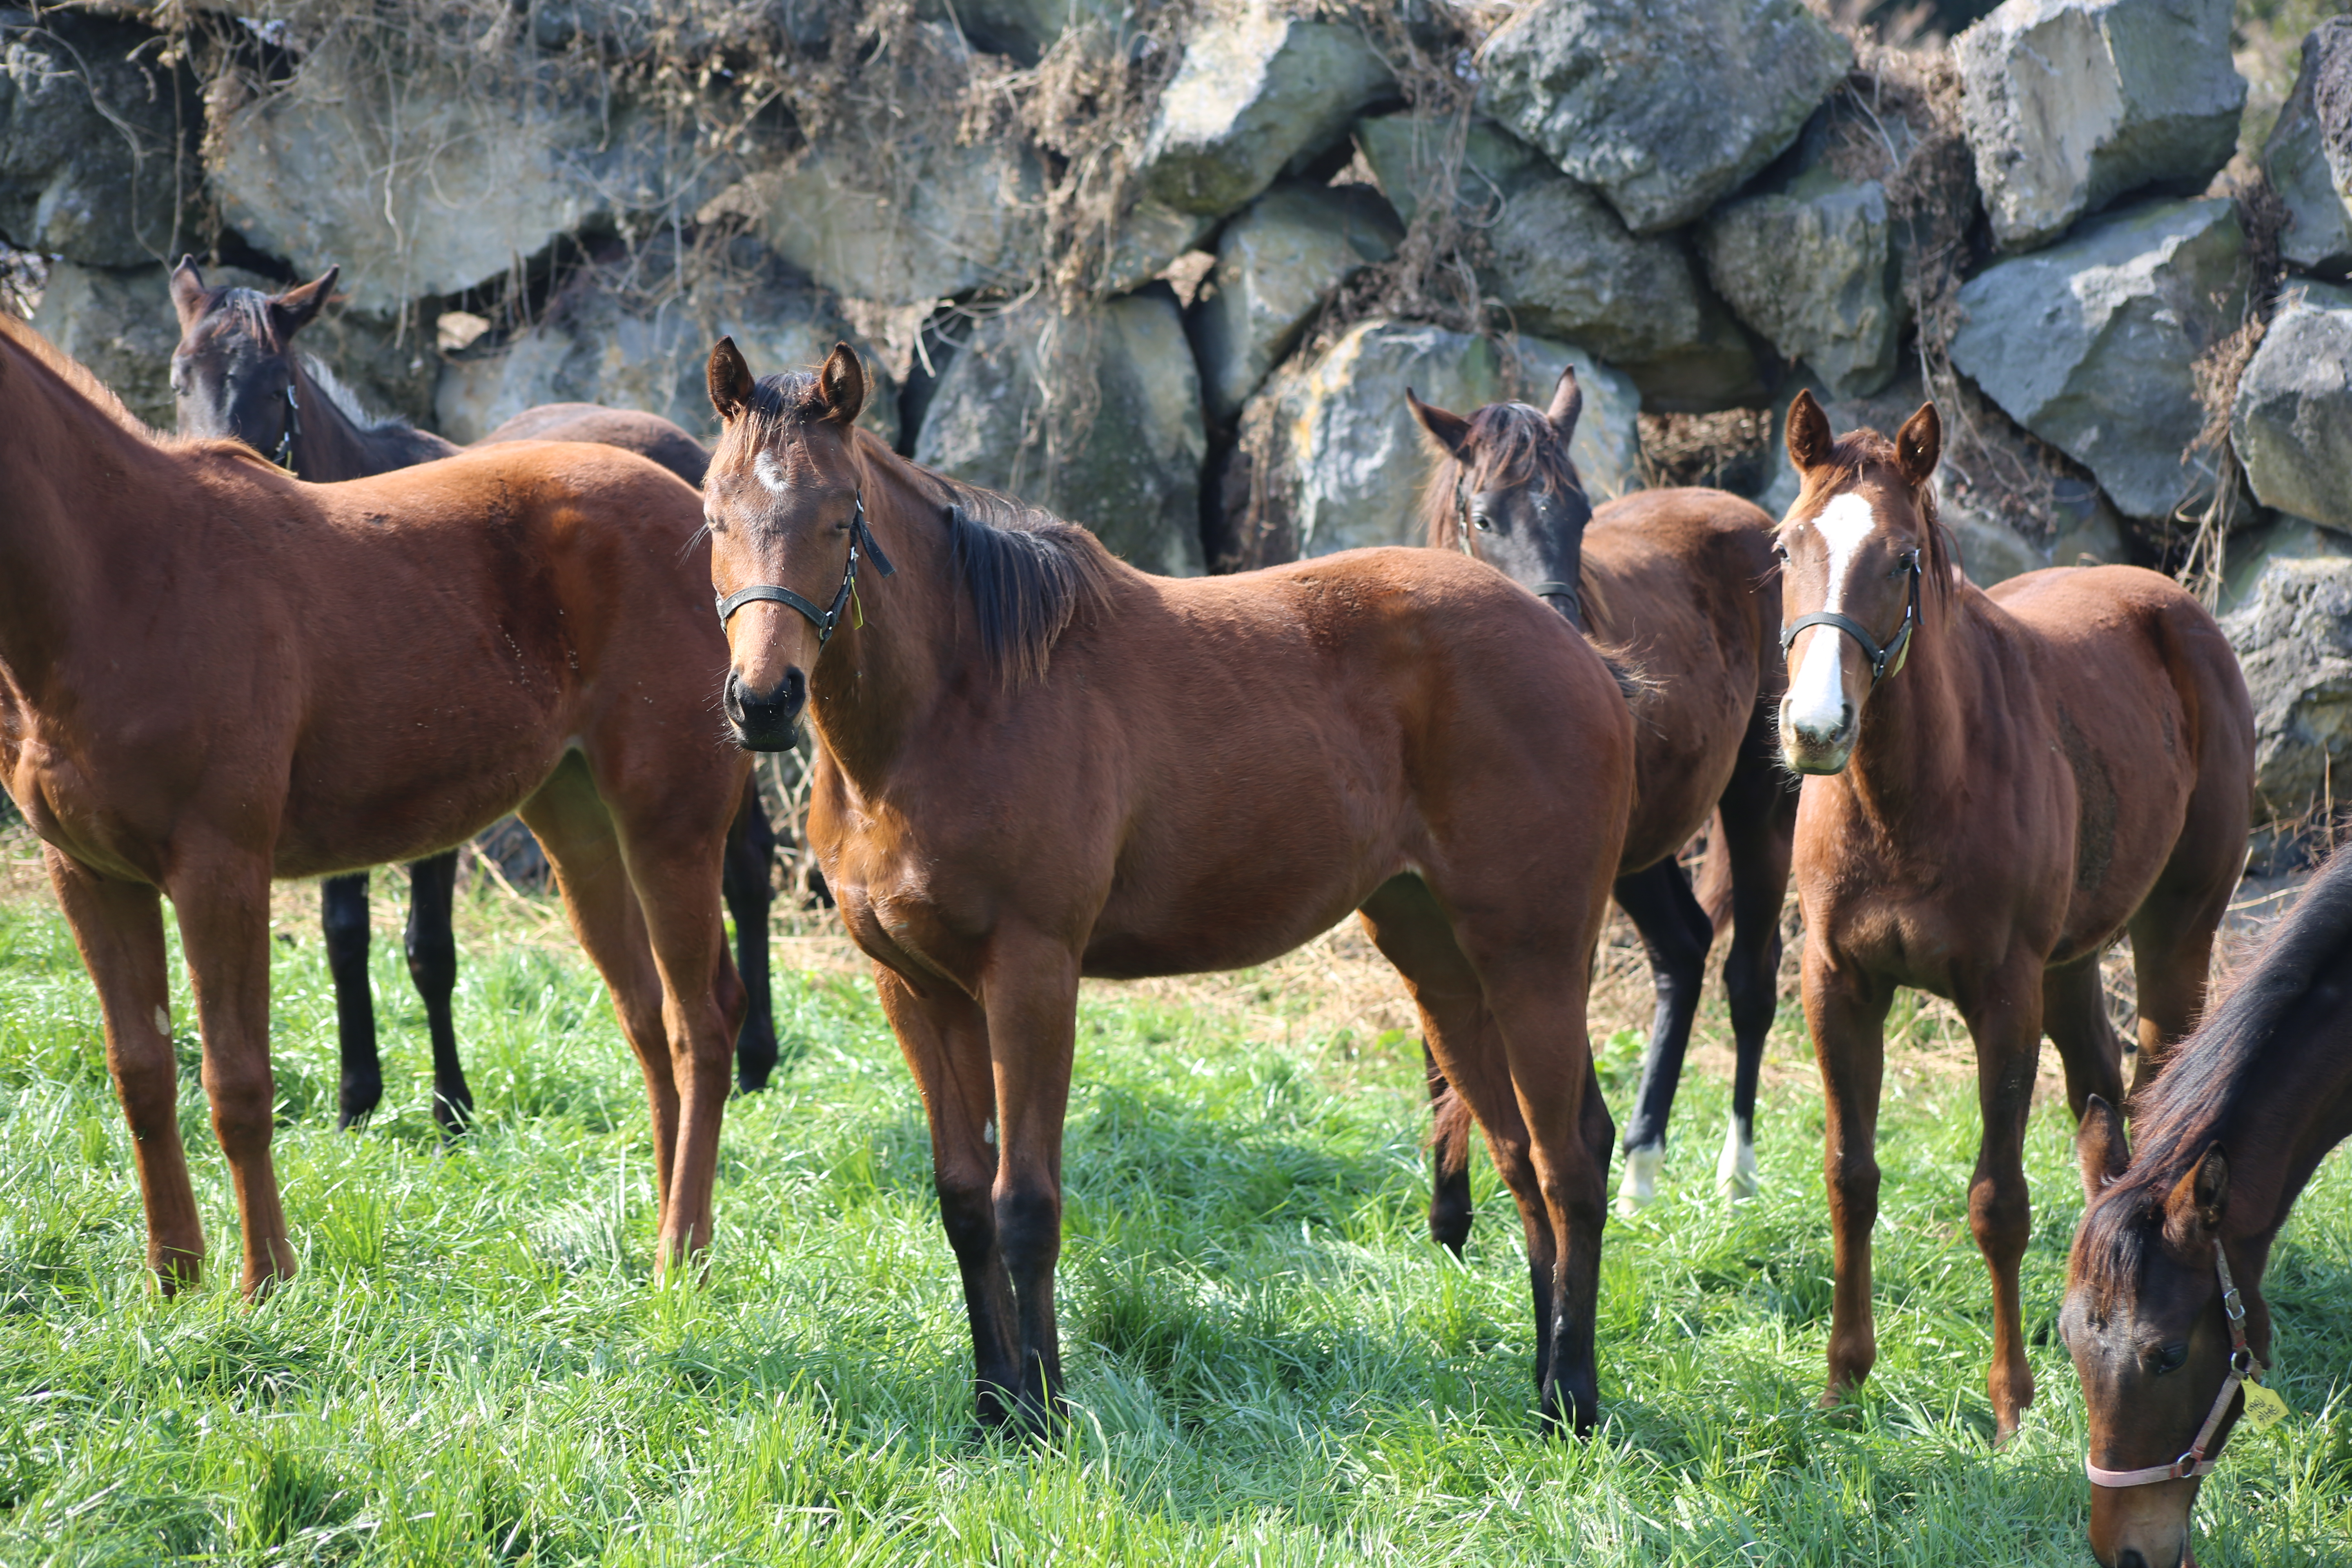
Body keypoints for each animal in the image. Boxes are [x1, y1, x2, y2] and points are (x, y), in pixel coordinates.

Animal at [0, 312, 748, 1297]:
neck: (124, 580)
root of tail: (696, 512)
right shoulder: (89, 874)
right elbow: (143, 1074)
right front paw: (174, 1281)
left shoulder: (220, 868)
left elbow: (237, 1084)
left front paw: (264, 1284)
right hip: (582, 828)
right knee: (651, 1022)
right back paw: (668, 1232)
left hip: (673, 827)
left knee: (702, 1025)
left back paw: (682, 1255)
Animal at [168, 255, 790, 1128]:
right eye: (179, 376)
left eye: (274, 379)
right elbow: (343, 932)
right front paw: (357, 1098)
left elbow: (429, 948)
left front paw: (450, 1103)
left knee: (748, 865)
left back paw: (759, 1058)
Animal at [706, 341, 1646, 1439]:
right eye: (715, 516)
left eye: (838, 514)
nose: (762, 702)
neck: (957, 701)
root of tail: (1581, 653)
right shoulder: (917, 987)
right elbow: (964, 1200)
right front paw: (993, 1409)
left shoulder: (1031, 974)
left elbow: (1026, 1202)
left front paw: (1046, 1415)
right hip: (1444, 965)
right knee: (1521, 1160)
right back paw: (1545, 1391)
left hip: (1535, 959)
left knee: (1568, 1163)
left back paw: (1573, 1400)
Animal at [1401, 371, 1787, 1222]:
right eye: (1484, 517)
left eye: (1580, 513)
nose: (1559, 633)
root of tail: (1752, 519)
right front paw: (1449, 1209)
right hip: (1643, 852)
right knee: (1683, 951)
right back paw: (1642, 1169)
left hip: (1759, 799)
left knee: (1749, 976)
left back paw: (1737, 1175)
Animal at [1778, 392, 2258, 1448]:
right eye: (1783, 545)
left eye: (1902, 559)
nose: (1814, 728)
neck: (1909, 795)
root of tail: (2172, 608)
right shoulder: (1838, 984)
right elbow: (1848, 1176)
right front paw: (1841, 1382)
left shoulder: (2000, 997)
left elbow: (1995, 1200)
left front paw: (2009, 1407)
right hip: (2067, 966)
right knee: (2098, 1099)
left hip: (2174, 935)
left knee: (2151, 1089)